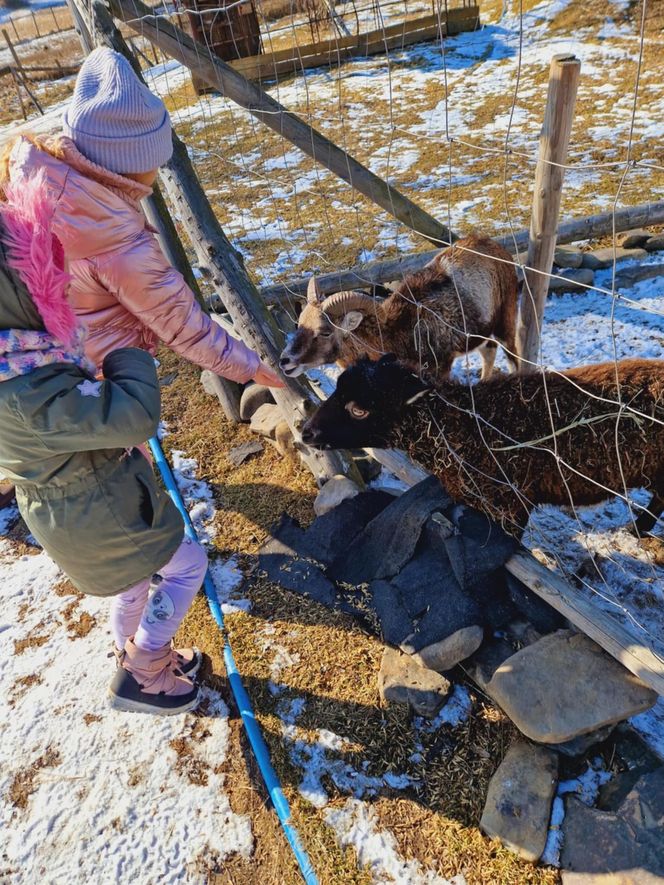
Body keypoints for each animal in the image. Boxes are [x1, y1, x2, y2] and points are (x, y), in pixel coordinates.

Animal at [278, 235, 520, 384]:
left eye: (325, 332)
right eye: (300, 324)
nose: (285, 361)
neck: (399, 333)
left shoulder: (441, 369)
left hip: (505, 325)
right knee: (489, 354)